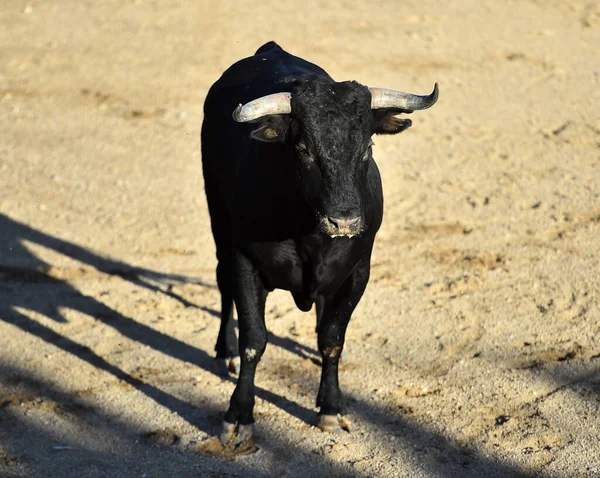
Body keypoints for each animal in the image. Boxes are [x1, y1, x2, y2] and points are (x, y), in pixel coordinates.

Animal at [199, 41, 438, 444]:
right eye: (304, 149)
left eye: (367, 146)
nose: (344, 221)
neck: (309, 235)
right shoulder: (244, 261)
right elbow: (254, 341)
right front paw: (239, 413)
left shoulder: (357, 273)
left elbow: (332, 338)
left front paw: (330, 406)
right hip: (218, 219)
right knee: (222, 283)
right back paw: (224, 350)